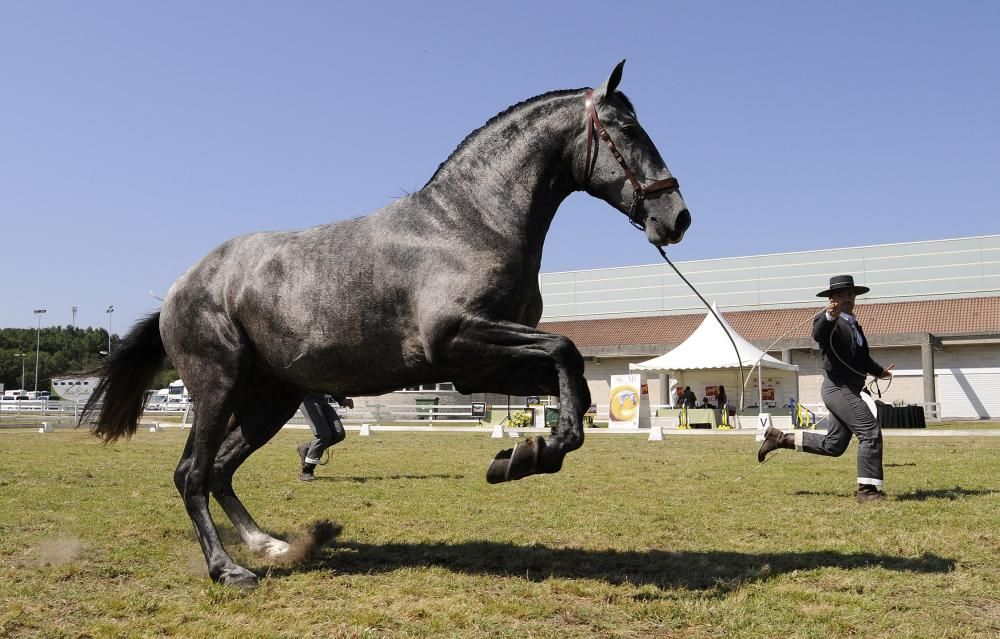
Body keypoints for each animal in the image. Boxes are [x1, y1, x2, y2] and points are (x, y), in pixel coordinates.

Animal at [80, 62, 688, 588]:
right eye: (628, 129)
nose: (677, 217)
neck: (472, 224)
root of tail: (178, 290)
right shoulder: (461, 340)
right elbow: (565, 350)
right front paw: (526, 454)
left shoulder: (480, 367)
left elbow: (574, 383)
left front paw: (524, 456)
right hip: (216, 387)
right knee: (193, 474)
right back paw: (229, 569)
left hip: (268, 400)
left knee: (222, 471)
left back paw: (271, 545)